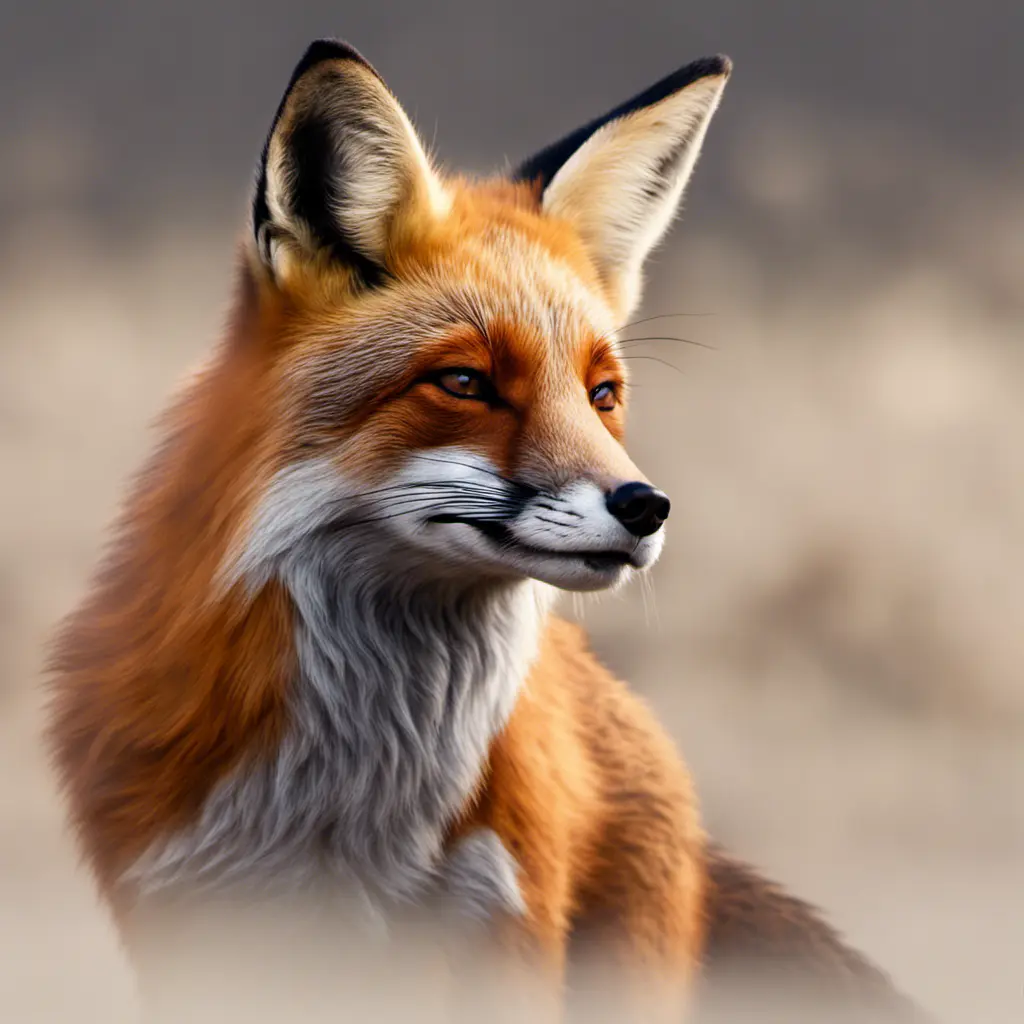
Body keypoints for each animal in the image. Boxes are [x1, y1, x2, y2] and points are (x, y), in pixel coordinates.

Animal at [48, 36, 925, 1019]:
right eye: (465, 383)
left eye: (602, 393)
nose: (645, 506)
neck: (353, 814)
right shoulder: (199, 929)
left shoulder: (499, 926)